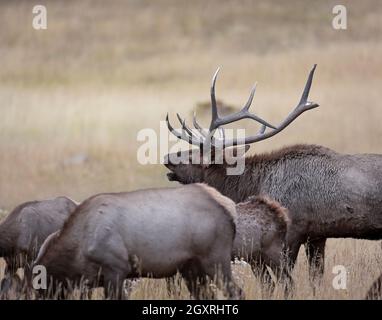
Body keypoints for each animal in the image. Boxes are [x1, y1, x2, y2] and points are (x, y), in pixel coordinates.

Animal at [32, 184, 242, 298]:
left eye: (42, 291)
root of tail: (230, 209)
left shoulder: (116, 268)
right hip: (191, 268)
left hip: (215, 259)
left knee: (236, 291)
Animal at [166, 65, 382, 280]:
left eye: (193, 156)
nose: (167, 157)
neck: (252, 186)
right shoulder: (317, 235)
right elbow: (316, 277)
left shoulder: (292, 231)